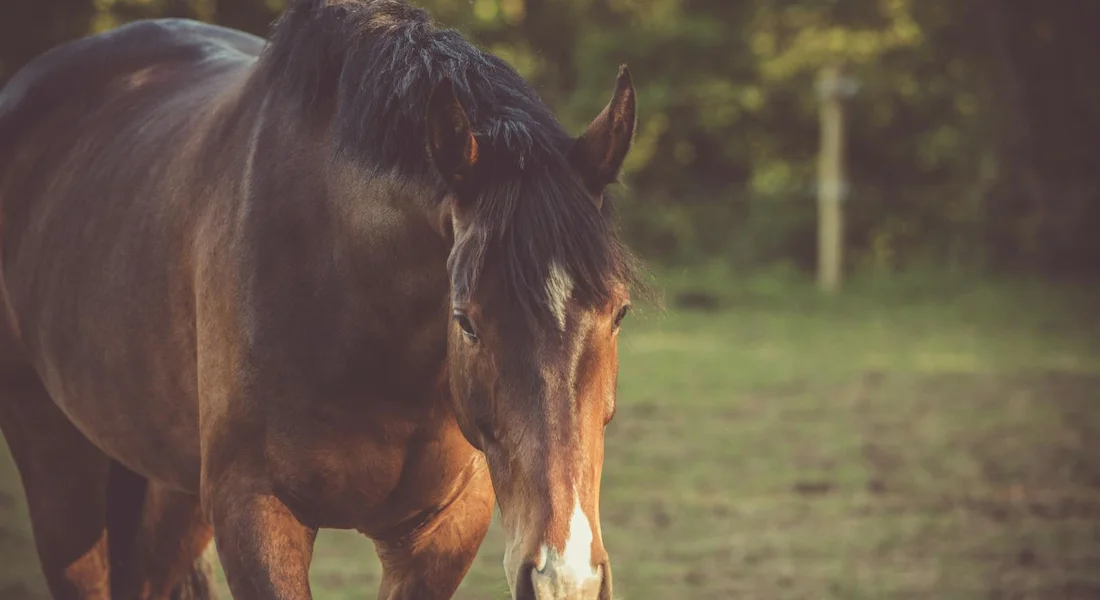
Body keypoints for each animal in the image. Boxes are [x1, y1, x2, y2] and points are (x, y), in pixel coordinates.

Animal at [0, 0, 640, 598]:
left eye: (619, 313)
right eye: (466, 321)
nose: (565, 578)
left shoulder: (442, 533)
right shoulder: (254, 516)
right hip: (56, 458)